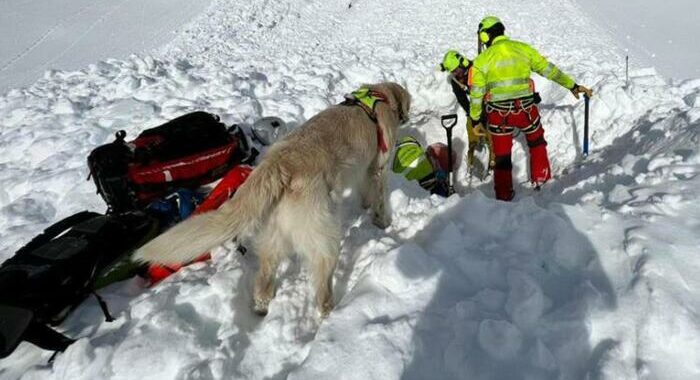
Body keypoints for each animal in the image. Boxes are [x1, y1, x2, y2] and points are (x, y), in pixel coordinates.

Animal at [133, 81, 410, 316]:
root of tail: (278, 164)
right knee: (321, 284)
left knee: (264, 281)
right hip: (323, 235)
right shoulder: (379, 166)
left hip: (274, 235)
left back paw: (262, 308)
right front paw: (383, 222)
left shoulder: (365, 171)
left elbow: (366, 191)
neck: (379, 97)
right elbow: (381, 197)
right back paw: (329, 313)